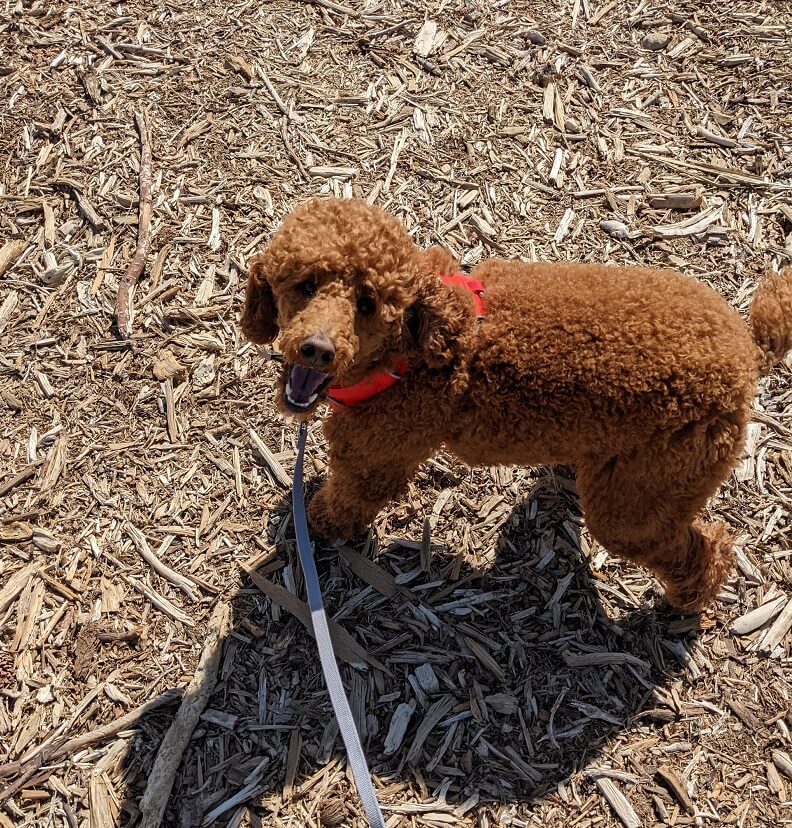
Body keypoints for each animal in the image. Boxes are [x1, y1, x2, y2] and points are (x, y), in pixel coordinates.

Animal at [243, 199, 792, 616]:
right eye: (305, 285)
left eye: (367, 304)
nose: (316, 349)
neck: (413, 349)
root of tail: (748, 354)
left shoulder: (375, 460)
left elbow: (349, 499)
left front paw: (317, 521)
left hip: (640, 497)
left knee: (698, 550)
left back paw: (686, 603)